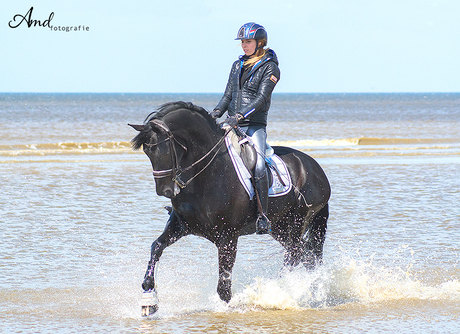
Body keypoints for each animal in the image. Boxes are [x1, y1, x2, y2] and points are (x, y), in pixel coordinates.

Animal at [129, 101, 330, 314]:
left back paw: (280, 289)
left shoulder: (228, 237)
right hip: (279, 227)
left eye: (165, 150)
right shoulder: (181, 225)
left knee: (295, 254)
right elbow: (157, 247)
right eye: (147, 152)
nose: (165, 190)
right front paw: (149, 299)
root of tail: (315, 168)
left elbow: (223, 287)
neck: (207, 174)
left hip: (299, 221)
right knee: (305, 256)